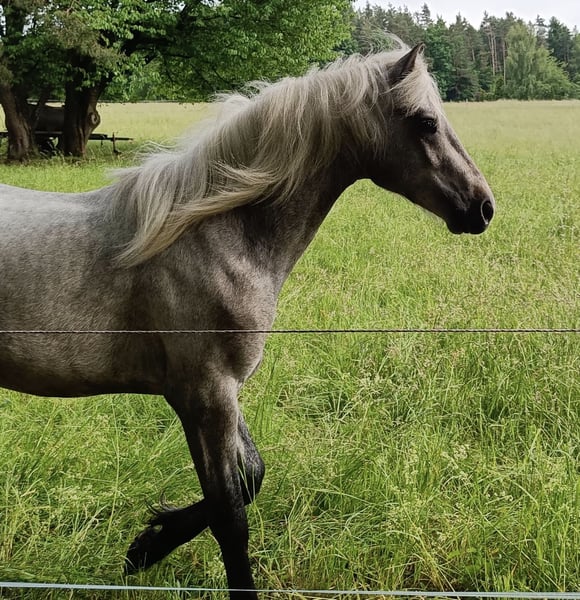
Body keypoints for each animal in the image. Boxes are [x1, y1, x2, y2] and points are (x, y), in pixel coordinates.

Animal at [0, 44, 494, 599]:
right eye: (426, 121)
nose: (483, 207)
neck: (213, 235)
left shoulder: (222, 392)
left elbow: (252, 476)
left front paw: (147, 545)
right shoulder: (205, 395)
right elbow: (230, 515)